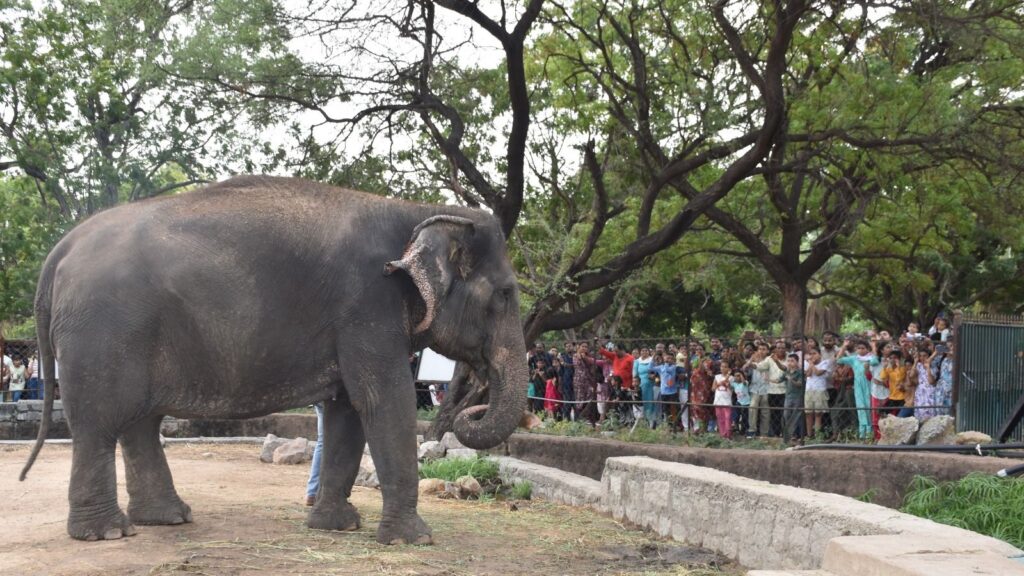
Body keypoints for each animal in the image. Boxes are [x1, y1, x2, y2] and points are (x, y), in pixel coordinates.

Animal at [19, 175, 528, 544]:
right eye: (505, 294)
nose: (471, 405)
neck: (416, 211)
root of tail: (60, 251)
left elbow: (348, 410)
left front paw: (337, 526)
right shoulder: (367, 304)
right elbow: (385, 402)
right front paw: (414, 540)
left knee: (138, 421)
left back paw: (169, 519)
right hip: (102, 331)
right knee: (100, 423)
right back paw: (107, 533)